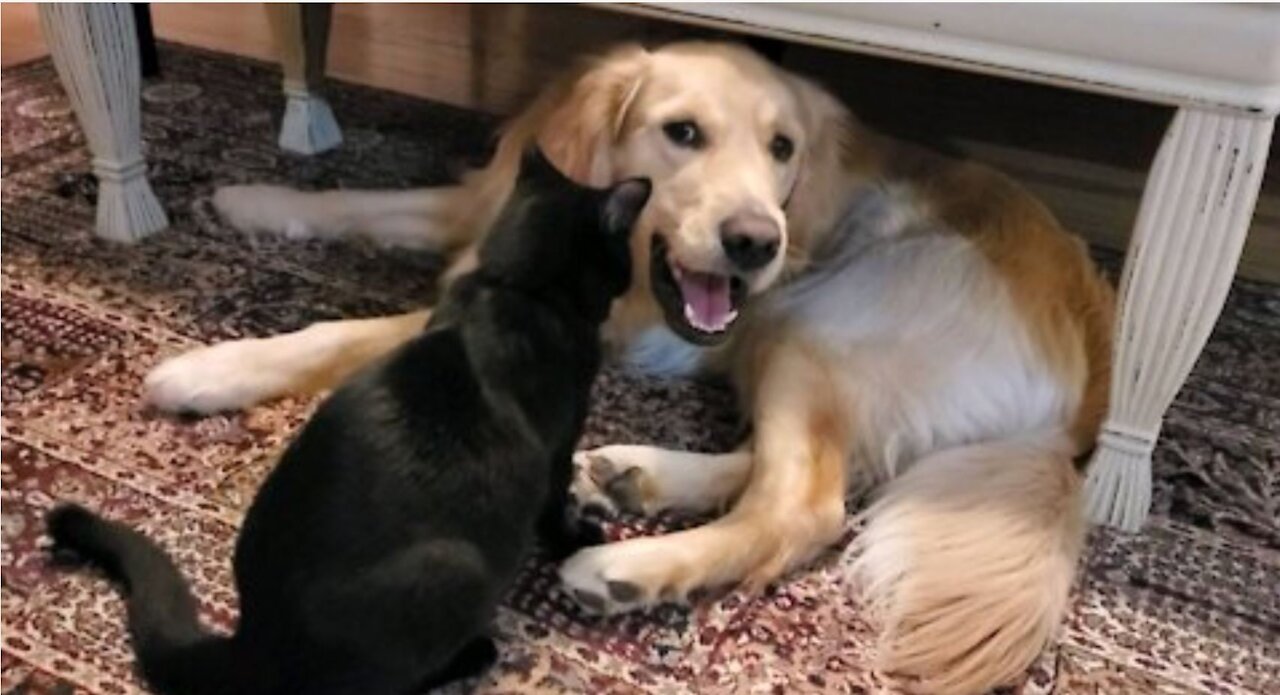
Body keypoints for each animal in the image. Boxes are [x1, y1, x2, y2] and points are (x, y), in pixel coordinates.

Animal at [45, 149, 650, 691]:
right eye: (625, 252)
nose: (635, 283)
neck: (515, 286)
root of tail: (257, 643)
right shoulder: (559, 444)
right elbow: (556, 504)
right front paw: (580, 536)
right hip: (456, 568)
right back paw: (475, 654)